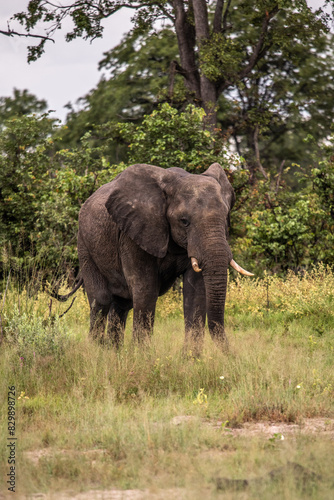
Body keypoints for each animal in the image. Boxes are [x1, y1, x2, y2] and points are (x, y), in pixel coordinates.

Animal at [55, 162, 253, 350]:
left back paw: (113, 352)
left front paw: (191, 359)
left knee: (122, 303)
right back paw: (97, 351)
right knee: (101, 299)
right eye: (184, 221)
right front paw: (142, 356)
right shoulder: (133, 233)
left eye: (225, 218)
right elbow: (146, 288)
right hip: (84, 244)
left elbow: (196, 292)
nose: (231, 355)